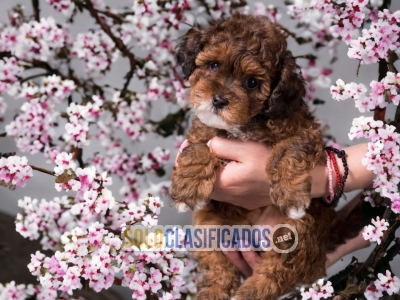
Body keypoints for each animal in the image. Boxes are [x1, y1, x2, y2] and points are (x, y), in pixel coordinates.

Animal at [170, 14, 360, 300]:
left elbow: (290, 150)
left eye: (252, 82)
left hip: (299, 231)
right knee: (218, 268)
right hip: (208, 225)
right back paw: (214, 291)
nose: (218, 100)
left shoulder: (305, 131)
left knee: (278, 272)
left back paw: (252, 291)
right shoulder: (202, 132)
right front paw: (188, 185)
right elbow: (198, 148)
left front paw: (291, 195)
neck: (247, 122)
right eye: (213, 65)